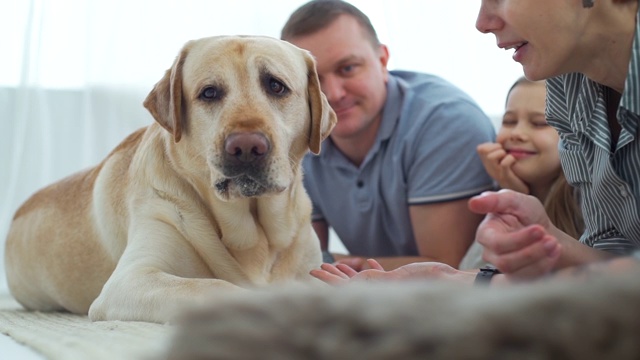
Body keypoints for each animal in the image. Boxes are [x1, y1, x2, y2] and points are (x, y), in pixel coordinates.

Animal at [3, 35, 336, 324]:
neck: (255, 234)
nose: (246, 147)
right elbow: (213, 286)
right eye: (209, 92)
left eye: (276, 86)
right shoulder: (131, 280)